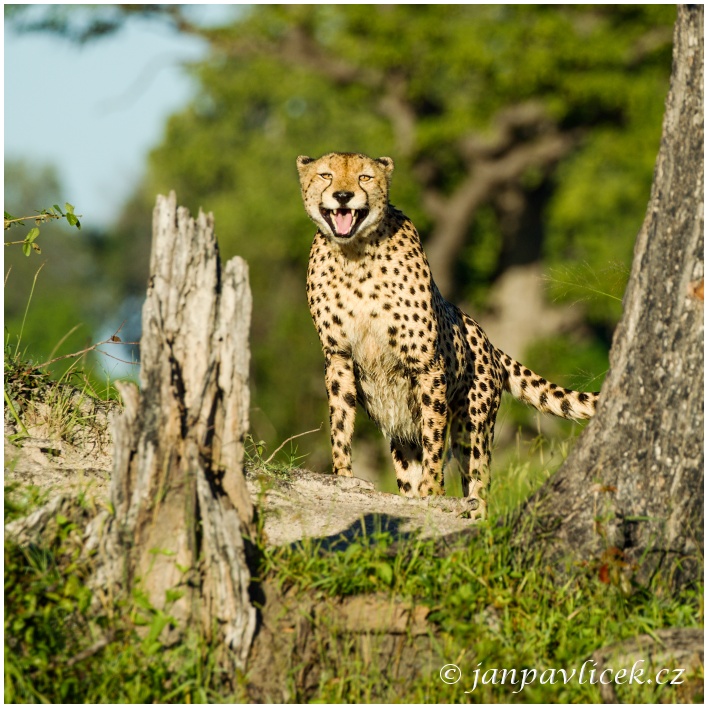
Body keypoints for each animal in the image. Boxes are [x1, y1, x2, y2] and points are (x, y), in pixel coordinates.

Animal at [296, 152, 600, 520]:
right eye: (326, 175)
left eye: (364, 177)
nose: (343, 196)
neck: (354, 254)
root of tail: (488, 340)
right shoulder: (338, 355)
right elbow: (339, 421)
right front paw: (342, 475)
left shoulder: (426, 363)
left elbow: (434, 435)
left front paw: (434, 491)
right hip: (402, 432)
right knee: (408, 468)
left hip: (473, 428)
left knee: (478, 486)